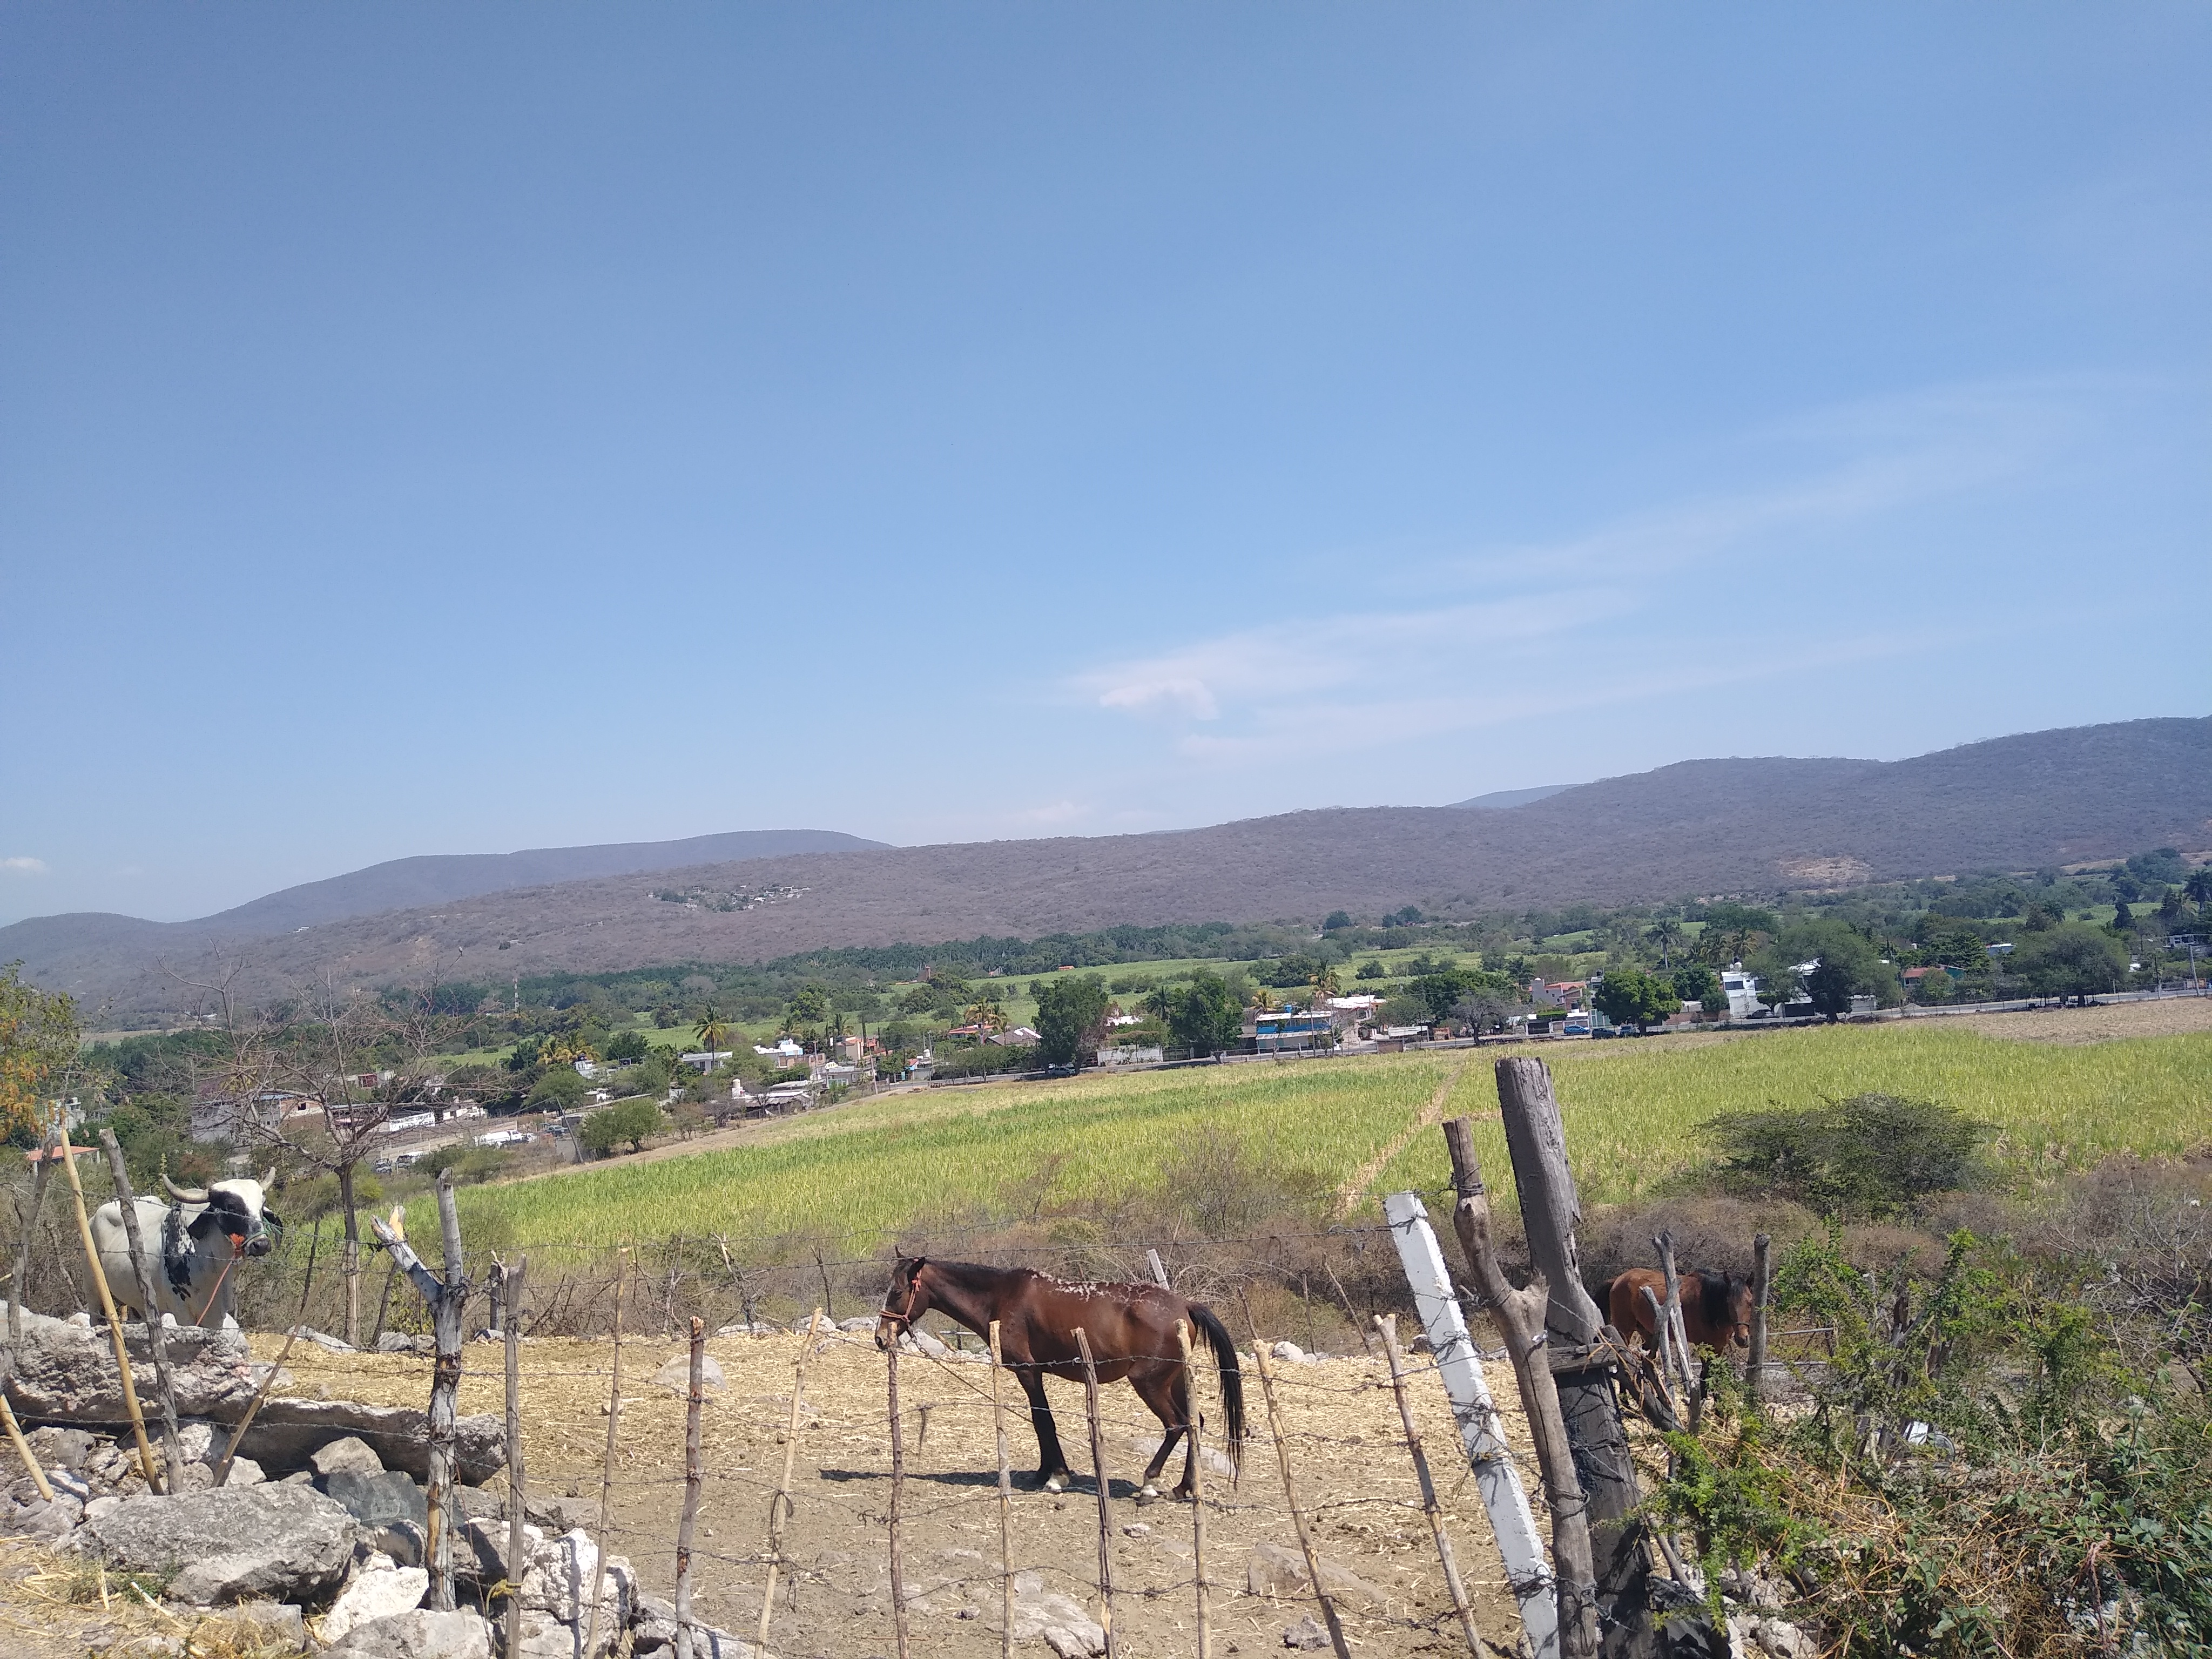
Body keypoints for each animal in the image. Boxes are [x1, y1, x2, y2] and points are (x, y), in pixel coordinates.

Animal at [91, 1177, 285, 1336]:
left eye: (261, 1207)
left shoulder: (216, 1315)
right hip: (92, 1286)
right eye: (230, 1207)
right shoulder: (182, 1312)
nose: (261, 1244)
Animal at [871, 1256, 1247, 1504]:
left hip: (1150, 1384)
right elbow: (1041, 1422)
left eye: (897, 1293)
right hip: (1174, 1382)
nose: (880, 1337)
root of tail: (1185, 1305)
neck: (1000, 1296)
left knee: (1176, 1424)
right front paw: (1044, 1472)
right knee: (1195, 1422)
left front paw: (1056, 1476)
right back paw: (1185, 1487)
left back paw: (1149, 1485)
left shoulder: (1028, 1371)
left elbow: (1043, 1421)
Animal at [1610, 1265, 1743, 1353]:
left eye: (1748, 1303)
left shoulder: (1718, 1347)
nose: (1743, 1338)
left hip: (1645, 1332)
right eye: (1729, 1302)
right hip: (1624, 1331)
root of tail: (1618, 1280)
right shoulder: (1704, 1345)